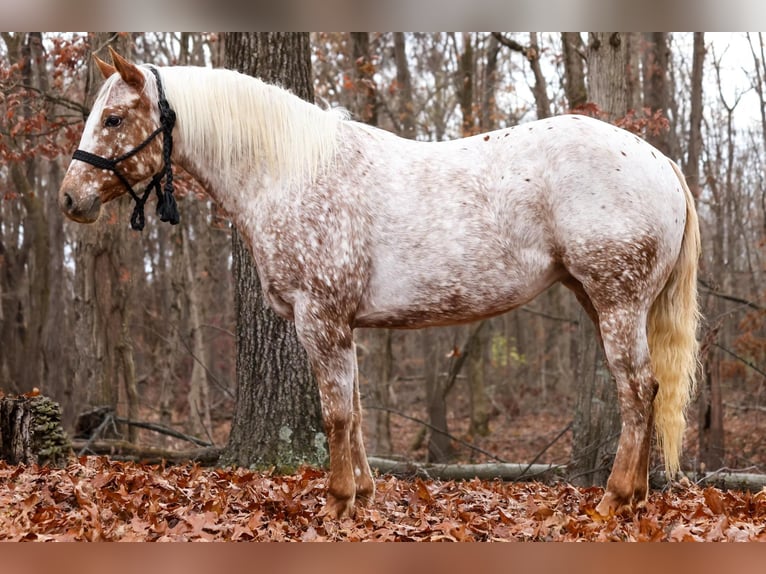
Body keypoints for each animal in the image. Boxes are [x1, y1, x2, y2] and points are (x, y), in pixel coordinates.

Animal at [60, 48, 700, 520]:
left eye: (114, 118)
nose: (70, 199)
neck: (290, 173)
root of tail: (660, 161)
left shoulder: (320, 318)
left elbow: (335, 413)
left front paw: (337, 502)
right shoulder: (344, 325)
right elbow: (357, 409)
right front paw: (363, 497)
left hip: (616, 302)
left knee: (636, 390)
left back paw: (616, 500)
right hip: (601, 301)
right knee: (647, 390)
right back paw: (637, 498)